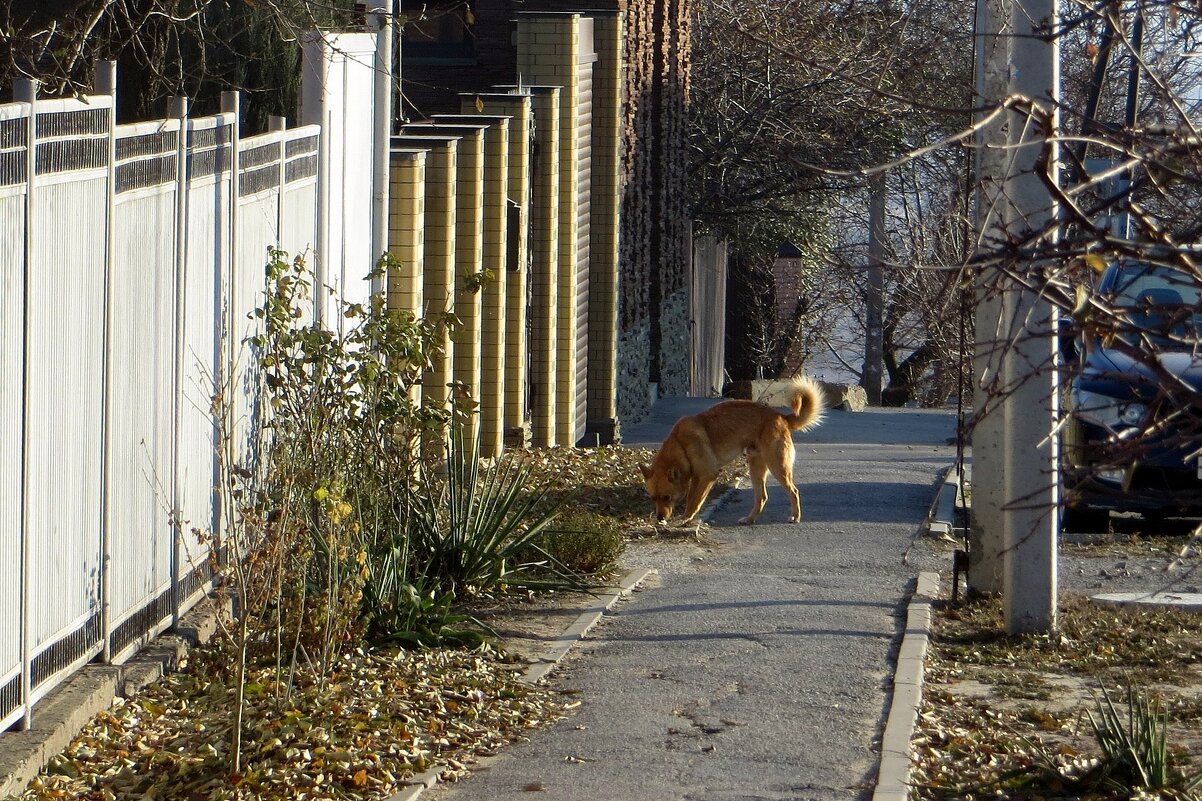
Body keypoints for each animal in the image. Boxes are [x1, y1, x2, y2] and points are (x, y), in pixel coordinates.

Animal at [639, 380, 826, 526]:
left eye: (666, 497)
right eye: (653, 498)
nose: (659, 518)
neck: (681, 444)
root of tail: (781, 417)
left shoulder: (708, 475)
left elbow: (695, 501)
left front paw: (686, 518)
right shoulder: (696, 478)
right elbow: (691, 497)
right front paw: (685, 517)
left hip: (777, 466)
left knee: (794, 491)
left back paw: (795, 517)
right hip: (756, 469)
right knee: (762, 497)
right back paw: (749, 519)